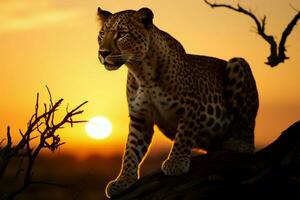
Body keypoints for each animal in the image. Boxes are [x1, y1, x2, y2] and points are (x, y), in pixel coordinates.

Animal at [96, 7, 258, 198]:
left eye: (122, 34)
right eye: (101, 35)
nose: (103, 53)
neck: (142, 72)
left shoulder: (190, 108)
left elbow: (183, 136)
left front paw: (176, 163)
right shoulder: (140, 118)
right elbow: (131, 150)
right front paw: (123, 180)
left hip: (238, 64)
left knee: (248, 131)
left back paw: (239, 143)